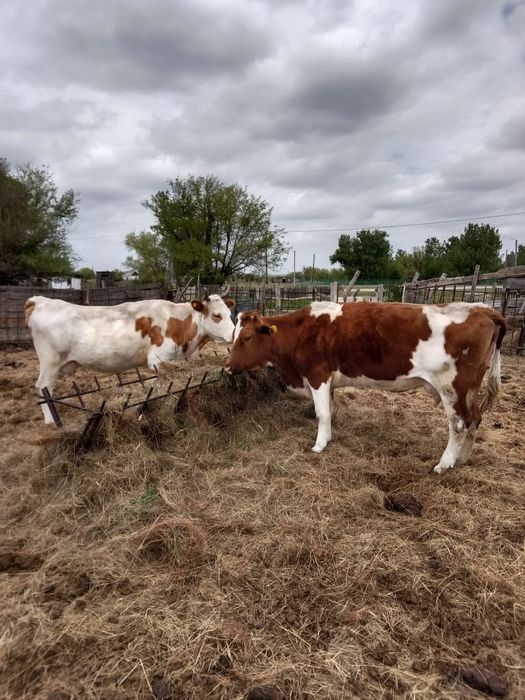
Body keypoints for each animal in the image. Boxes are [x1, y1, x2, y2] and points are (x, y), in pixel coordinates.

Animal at [26, 291, 235, 424]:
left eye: (230, 313)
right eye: (217, 315)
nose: (234, 334)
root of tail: (39, 300)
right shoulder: (158, 359)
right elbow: (160, 385)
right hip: (50, 363)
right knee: (43, 389)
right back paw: (51, 422)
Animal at [225, 301, 507, 474]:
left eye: (246, 337)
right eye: (233, 336)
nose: (226, 367)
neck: (300, 331)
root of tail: (481, 309)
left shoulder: (318, 375)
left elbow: (322, 413)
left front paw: (319, 446)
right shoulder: (329, 380)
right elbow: (330, 410)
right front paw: (328, 438)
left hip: (452, 386)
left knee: (459, 424)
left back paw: (445, 463)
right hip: (470, 388)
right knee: (475, 418)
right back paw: (462, 458)